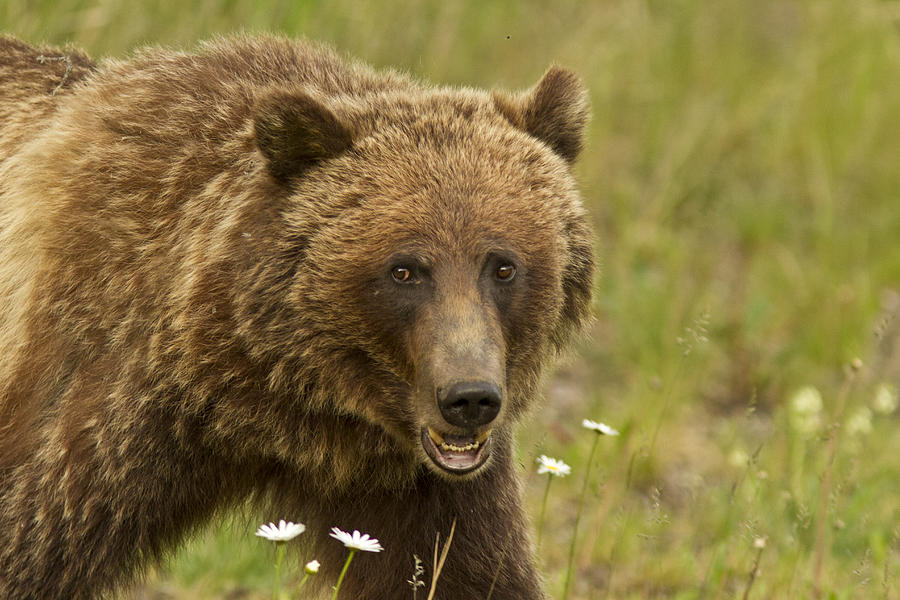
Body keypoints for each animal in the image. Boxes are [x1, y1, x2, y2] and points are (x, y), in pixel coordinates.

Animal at [0, 35, 592, 596]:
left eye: (504, 266)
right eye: (404, 270)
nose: (469, 398)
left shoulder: (412, 482)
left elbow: (460, 572)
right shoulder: (104, 401)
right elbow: (32, 535)